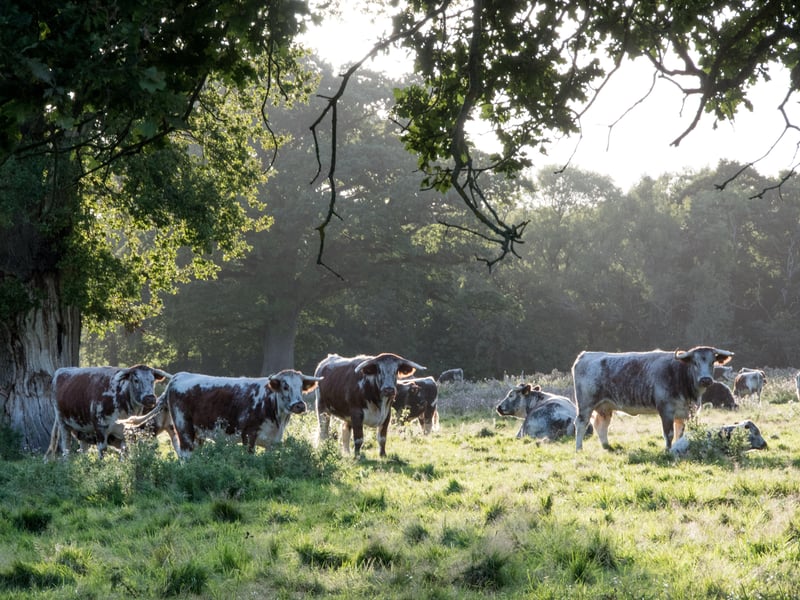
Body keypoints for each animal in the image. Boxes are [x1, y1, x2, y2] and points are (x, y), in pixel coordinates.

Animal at [120, 370, 321, 458]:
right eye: (285, 386)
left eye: (301, 387)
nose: (299, 405)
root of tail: (178, 376)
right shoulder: (249, 435)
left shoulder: (272, 442)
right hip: (184, 430)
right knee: (185, 455)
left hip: (198, 434)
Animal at [572, 346, 735, 451]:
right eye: (694, 362)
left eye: (712, 362)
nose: (705, 379)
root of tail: (586, 355)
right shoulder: (666, 411)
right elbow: (669, 434)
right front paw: (668, 450)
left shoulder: (683, 414)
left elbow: (680, 434)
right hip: (586, 404)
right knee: (581, 423)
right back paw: (579, 448)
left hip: (605, 407)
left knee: (601, 425)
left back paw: (606, 446)